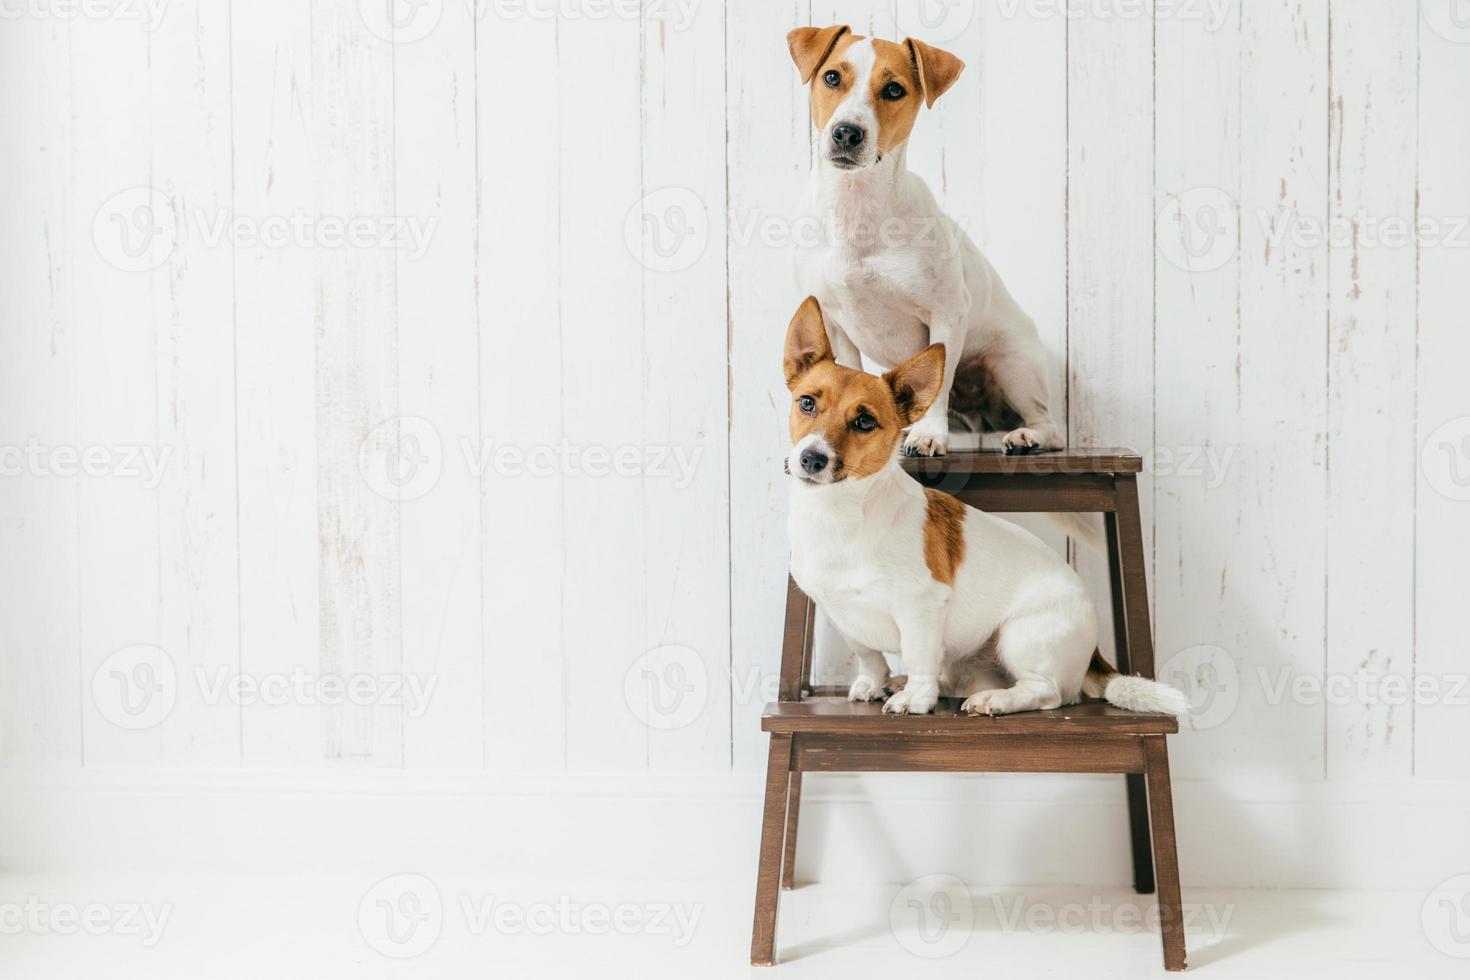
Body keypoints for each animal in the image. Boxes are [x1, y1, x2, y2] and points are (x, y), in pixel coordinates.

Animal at [782, 295, 1181, 717]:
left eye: (864, 421)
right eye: (806, 403)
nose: (811, 458)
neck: (840, 513)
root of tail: (1094, 656)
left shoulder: (921, 607)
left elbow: (919, 656)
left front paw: (916, 700)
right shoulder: (841, 613)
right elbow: (869, 655)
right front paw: (873, 683)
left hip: (1020, 636)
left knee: (1047, 692)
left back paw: (996, 700)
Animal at [787, 22, 1064, 461]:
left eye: (893, 89)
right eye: (831, 77)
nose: (847, 132)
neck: (857, 207)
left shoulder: (946, 313)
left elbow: (939, 385)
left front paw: (929, 435)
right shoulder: (834, 321)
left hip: (1011, 364)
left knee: (1048, 424)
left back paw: (1027, 436)